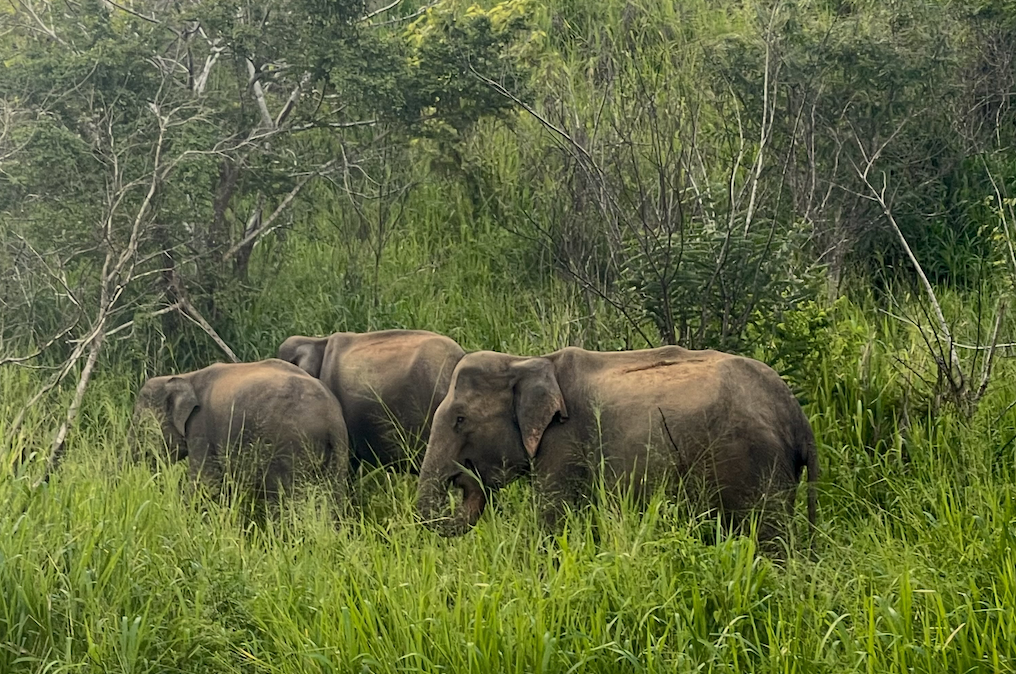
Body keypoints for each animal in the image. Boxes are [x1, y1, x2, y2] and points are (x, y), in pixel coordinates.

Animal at [129, 357, 351, 506]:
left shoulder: (201, 427)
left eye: (141, 425)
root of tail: (332, 419)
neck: (186, 377)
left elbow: (206, 484)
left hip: (290, 445)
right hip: (339, 451)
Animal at [416, 345, 820, 544]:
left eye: (460, 420)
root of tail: (798, 417)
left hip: (754, 463)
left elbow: (552, 522)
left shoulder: (564, 444)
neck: (526, 361)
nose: (463, 477)